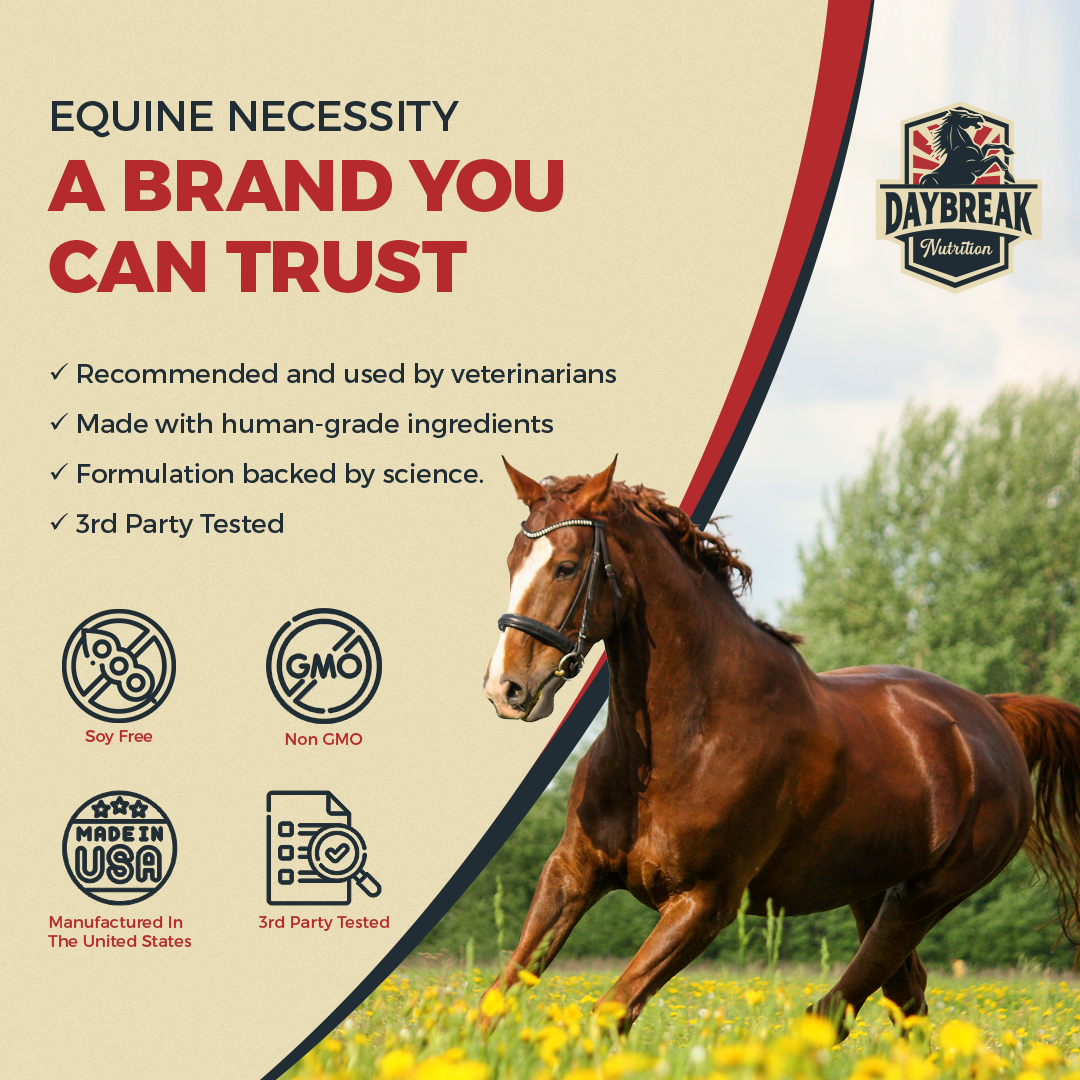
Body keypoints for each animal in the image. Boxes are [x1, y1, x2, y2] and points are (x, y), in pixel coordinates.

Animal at [482, 458, 1080, 1034]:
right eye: (512, 561)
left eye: (566, 566)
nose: (506, 689)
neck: (677, 745)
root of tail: (992, 716)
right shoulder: (572, 873)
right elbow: (499, 995)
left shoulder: (704, 902)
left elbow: (613, 1010)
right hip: (870, 891)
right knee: (905, 996)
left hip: (925, 896)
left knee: (842, 1006)